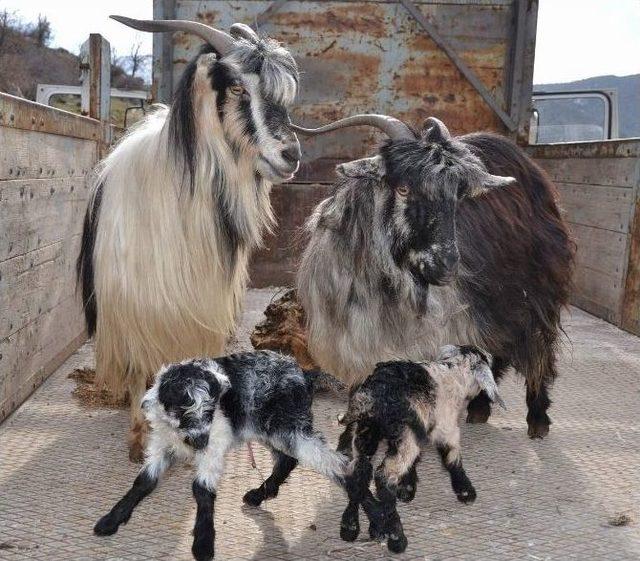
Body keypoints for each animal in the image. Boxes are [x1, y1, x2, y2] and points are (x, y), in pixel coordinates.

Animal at [296, 115, 576, 438]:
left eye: (456, 197)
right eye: (403, 189)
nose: (447, 265)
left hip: (534, 291)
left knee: (538, 346)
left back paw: (537, 418)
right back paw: (480, 408)